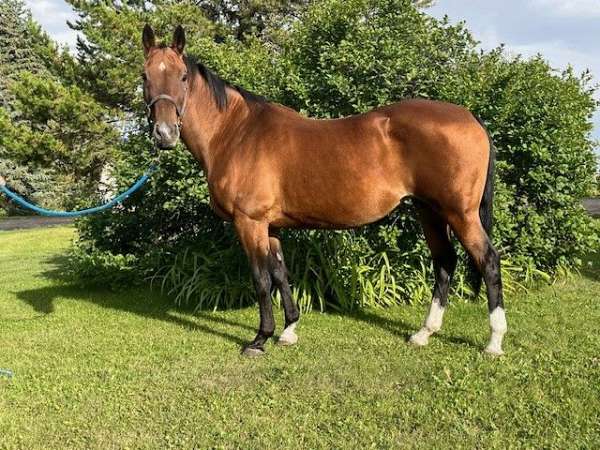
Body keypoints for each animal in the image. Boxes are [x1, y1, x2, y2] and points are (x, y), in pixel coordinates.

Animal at [139, 24, 506, 356]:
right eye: (144, 76)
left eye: (182, 76)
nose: (164, 134)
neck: (237, 133)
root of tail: (471, 118)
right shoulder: (270, 227)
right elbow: (280, 274)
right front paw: (288, 331)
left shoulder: (249, 223)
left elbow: (261, 280)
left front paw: (260, 339)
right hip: (429, 211)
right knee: (444, 261)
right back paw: (423, 334)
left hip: (460, 213)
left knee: (488, 260)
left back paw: (494, 341)